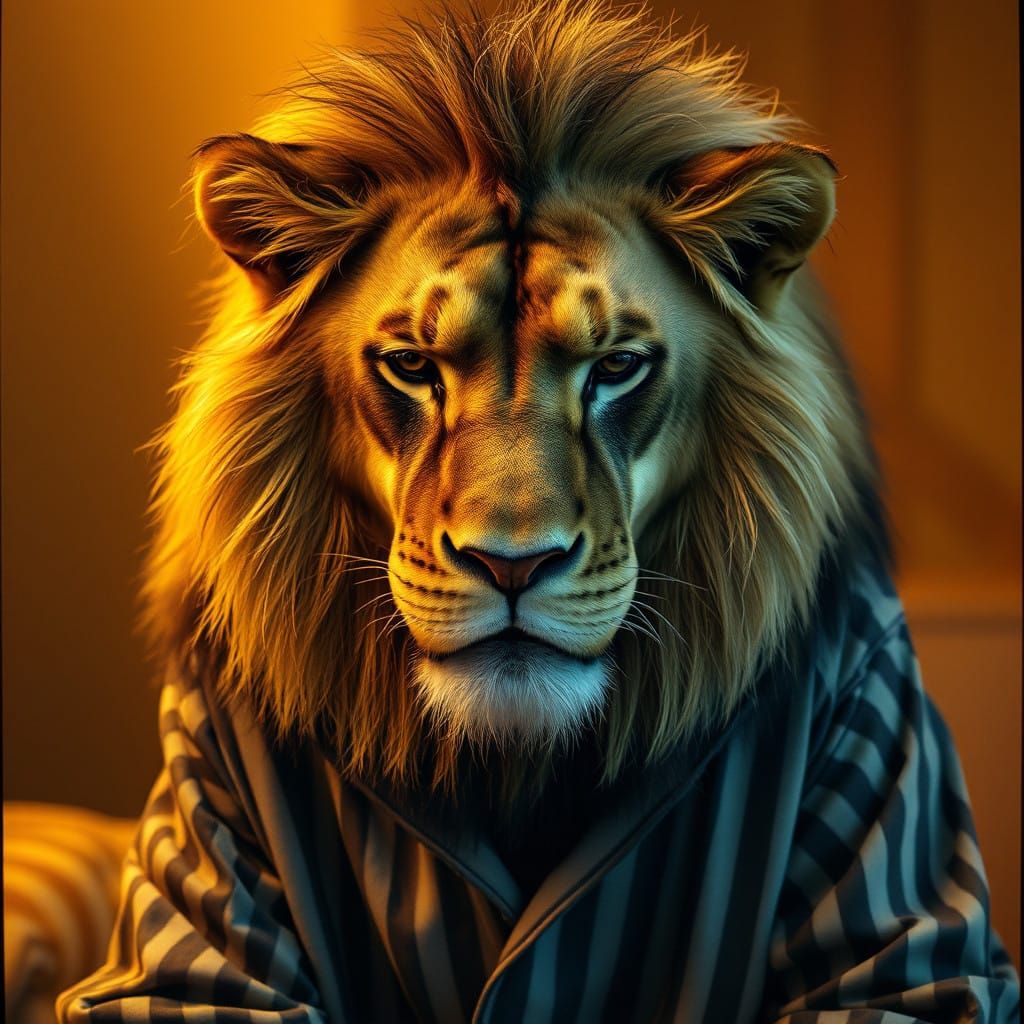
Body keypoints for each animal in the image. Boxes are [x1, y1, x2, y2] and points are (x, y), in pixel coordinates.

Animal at [57, 1, 1016, 1020]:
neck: (517, 760)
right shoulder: (202, 856)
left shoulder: (884, 816)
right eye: (413, 366)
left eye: (616, 367)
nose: (512, 564)